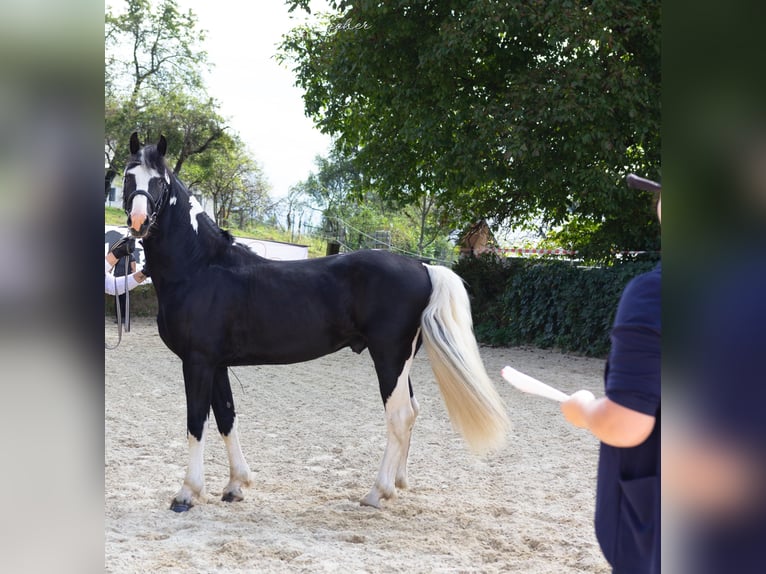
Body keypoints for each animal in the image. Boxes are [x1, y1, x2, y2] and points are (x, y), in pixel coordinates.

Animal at [123, 134, 512, 512]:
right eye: (128, 176)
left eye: (159, 182)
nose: (138, 222)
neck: (201, 266)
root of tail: (424, 267)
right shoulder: (216, 365)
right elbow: (226, 418)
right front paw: (235, 486)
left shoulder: (198, 361)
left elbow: (196, 423)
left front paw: (187, 493)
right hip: (401, 363)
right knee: (412, 412)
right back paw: (398, 485)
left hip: (388, 357)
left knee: (399, 415)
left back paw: (377, 493)